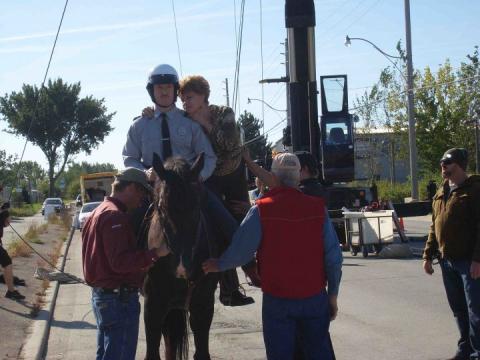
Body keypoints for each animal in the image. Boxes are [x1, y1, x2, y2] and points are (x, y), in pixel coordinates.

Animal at [142, 153, 218, 360]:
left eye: (197, 205)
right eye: (161, 207)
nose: (182, 267)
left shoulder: (203, 303)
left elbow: (202, 352)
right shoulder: (153, 304)